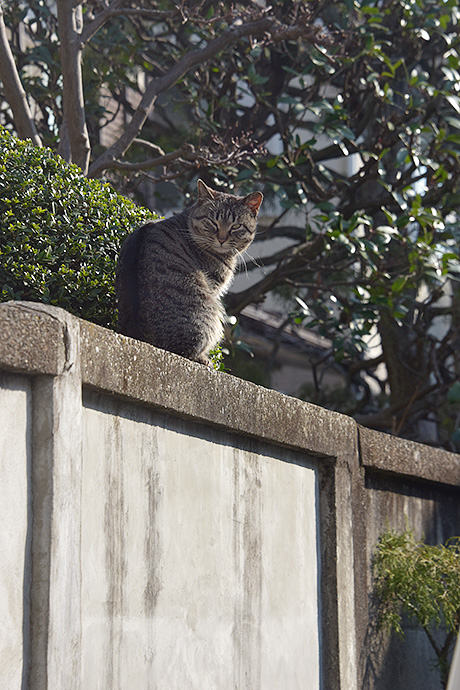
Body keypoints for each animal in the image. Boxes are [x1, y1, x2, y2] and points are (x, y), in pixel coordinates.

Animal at [115, 179, 262, 366]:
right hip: (211, 314)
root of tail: (139, 335)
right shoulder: (214, 288)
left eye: (236, 226)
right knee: (187, 351)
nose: (222, 239)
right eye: (212, 222)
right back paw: (205, 359)